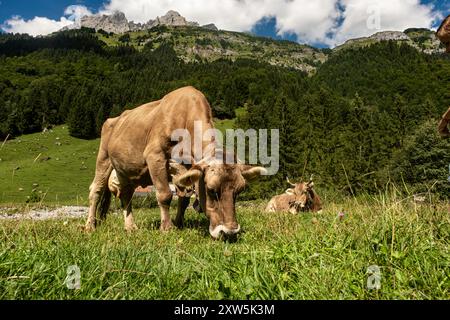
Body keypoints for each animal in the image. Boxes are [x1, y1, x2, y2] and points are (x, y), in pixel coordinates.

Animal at [85, 86, 266, 239]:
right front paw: (167, 228)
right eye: (211, 189)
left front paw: (179, 223)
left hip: (127, 171)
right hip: (104, 157)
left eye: (240, 190)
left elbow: (184, 197)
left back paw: (130, 227)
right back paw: (90, 226)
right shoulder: (155, 156)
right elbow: (165, 194)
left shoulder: (184, 168)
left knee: (125, 194)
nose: (229, 232)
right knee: (96, 190)